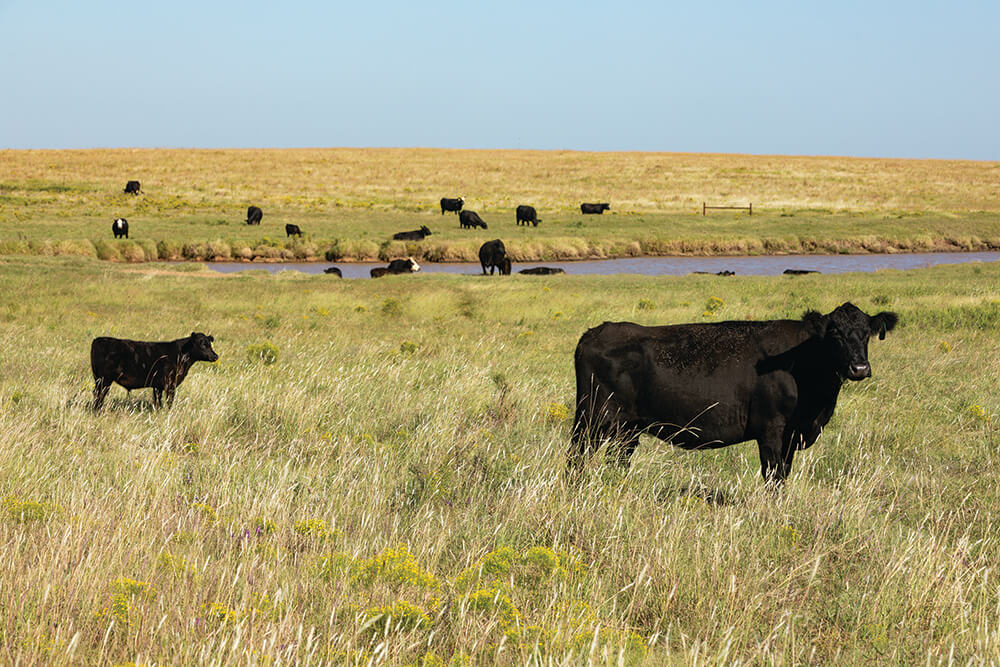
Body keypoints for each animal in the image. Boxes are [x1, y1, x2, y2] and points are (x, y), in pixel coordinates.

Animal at [90, 330, 221, 410]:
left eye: (210, 344)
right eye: (202, 344)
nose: (215, 356)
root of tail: (99, 339)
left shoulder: (158, 385)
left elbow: (158, 401)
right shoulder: (169, 383)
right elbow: (169, 400)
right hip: (104, 380)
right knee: (99, 395)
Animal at [572, 304, 900, 486]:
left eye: (867, 333)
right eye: (835, 334)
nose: (859, 367)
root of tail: (595, 331)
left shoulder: (791, 436)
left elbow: (784, 474)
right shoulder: (771, 430)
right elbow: (773, 477)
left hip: (628, 427)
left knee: (617, 459)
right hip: (592, 418)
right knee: (577, 456)